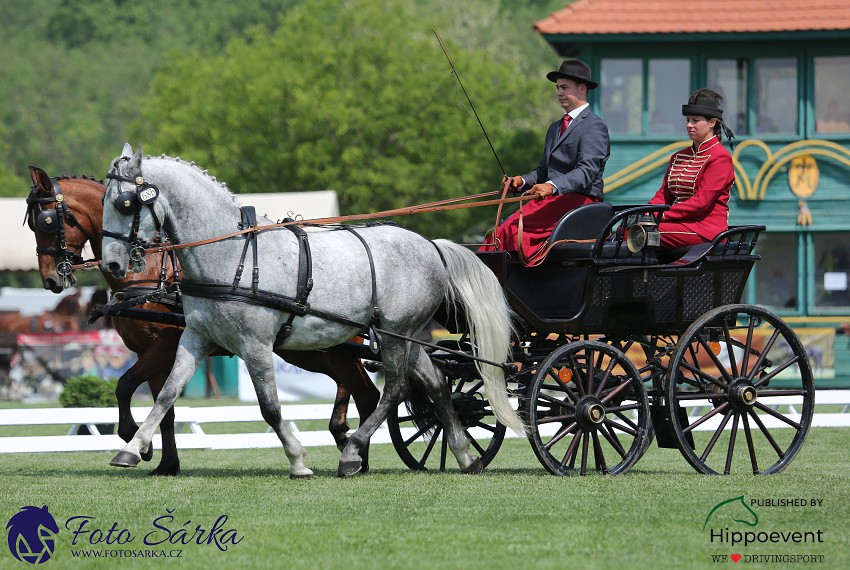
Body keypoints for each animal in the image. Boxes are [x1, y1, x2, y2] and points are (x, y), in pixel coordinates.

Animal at [26, 165, 378, 474]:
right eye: (33, 225)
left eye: (47, 220)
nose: (51, 280)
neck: (152, 273)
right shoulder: (148, 351)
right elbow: (165, 406)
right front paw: (165, 463)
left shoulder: (165, 345)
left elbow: (124, 386)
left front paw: (135, 441)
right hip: (310, 350)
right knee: (354, 387)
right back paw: (348, 441)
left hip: (331, 347)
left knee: (364, 392)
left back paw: (355, 454)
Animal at [99, 144, 524, 478]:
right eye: (104, 201)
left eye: (125, 203)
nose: (113, 265)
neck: (232, 255)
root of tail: (431, 245)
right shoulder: (194, 337)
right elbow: (167, 395)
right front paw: (131, 449)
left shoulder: (255, 345)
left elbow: (270, 408)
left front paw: (298, 461)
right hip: (404, 335)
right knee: (435, 385)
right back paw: (465, 455)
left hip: (392, 337)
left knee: (393, 390)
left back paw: (352, 454)